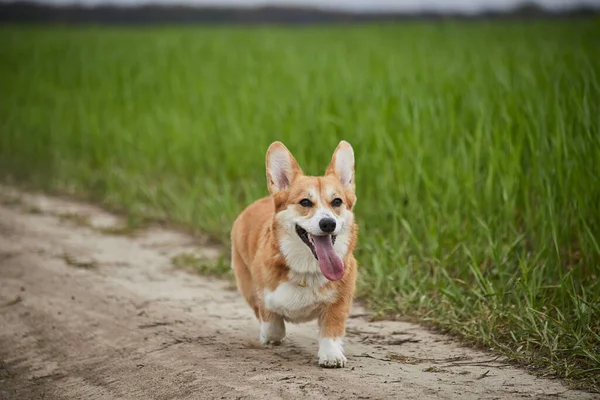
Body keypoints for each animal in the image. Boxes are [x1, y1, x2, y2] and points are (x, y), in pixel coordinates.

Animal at [232, 141, 358, 368]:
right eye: (305, 202)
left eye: (337, 202)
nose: (328, 224)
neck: (307, 269)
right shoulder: (263, 296)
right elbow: (273, 327)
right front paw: (268, 336)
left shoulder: (339, 302)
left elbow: (331, 330)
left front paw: (331, 355)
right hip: (245, 284)